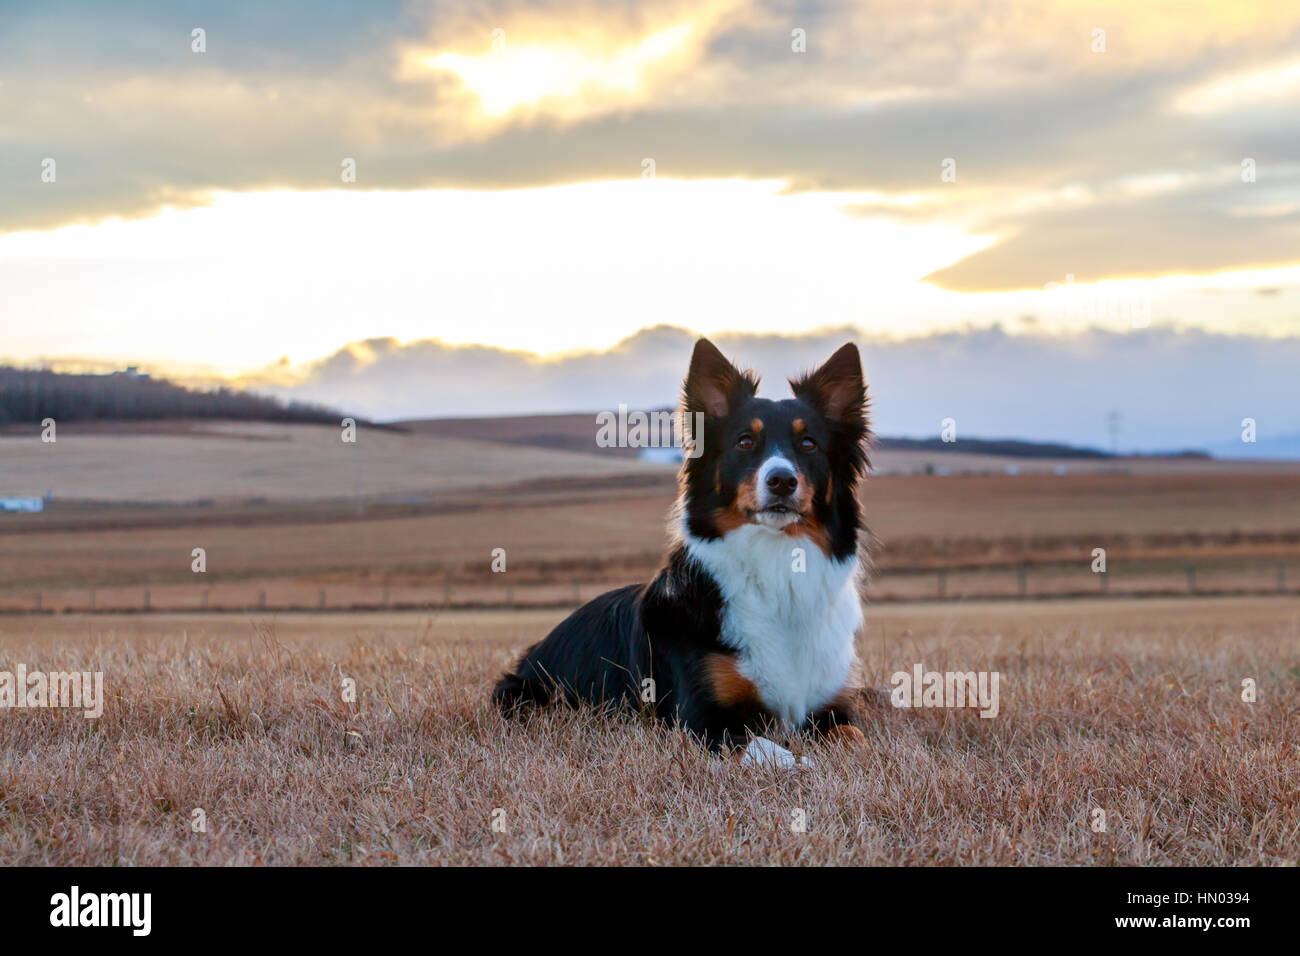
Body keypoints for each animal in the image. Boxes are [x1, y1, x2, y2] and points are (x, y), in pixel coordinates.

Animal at [493, 340, 873, 764]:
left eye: (808, 444)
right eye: (745, 442)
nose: (781, 481)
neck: (777, 563)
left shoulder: (831, 706)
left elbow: (855, 737)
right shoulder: (702, 720)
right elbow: (773, 751)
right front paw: (804, 765)